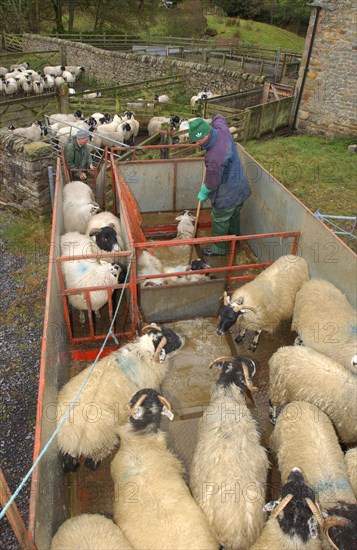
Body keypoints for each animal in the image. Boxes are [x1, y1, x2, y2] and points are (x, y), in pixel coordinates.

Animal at [56, 324, 182, 474]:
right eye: (170, 340)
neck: (144, 354)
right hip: (103, 439)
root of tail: (68, 440)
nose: (182, 339)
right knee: (96, 457)